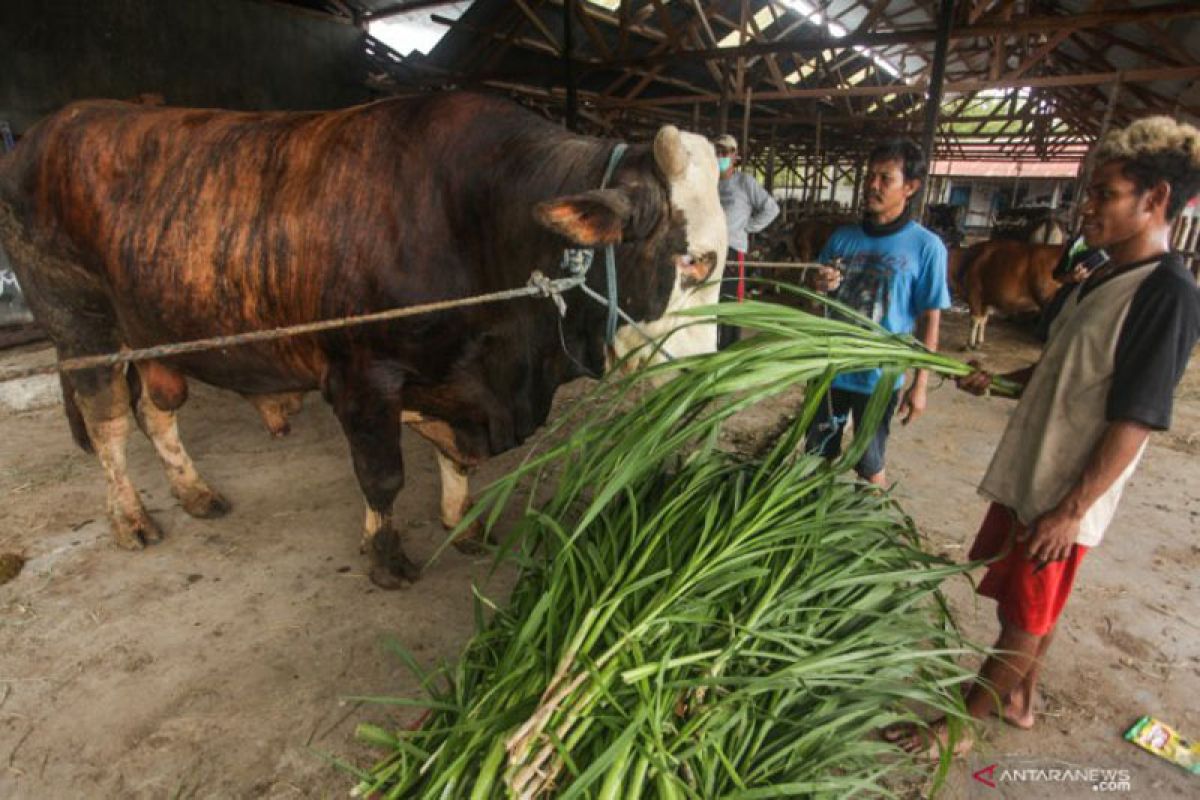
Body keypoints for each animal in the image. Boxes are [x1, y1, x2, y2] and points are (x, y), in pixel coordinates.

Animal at [0, 92, 720, 587]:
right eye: (692, 262)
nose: (712, 386)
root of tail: (49, 127)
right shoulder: (362, 375)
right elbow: (383, 475)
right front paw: (386, 556)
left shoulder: (455, 382)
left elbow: (456, 460)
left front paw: (463, 523)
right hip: (81, 327)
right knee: (109, 426)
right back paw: (132, 520)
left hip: (155, 334)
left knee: (157, 412)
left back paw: (195, 493)